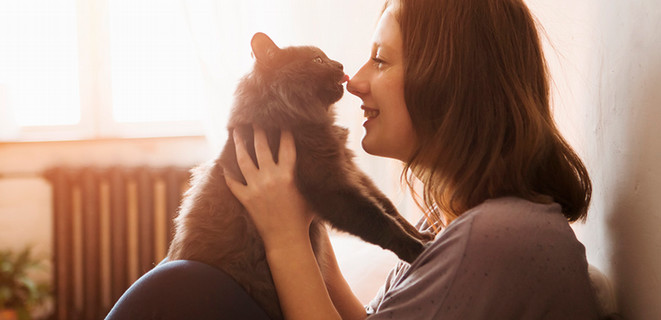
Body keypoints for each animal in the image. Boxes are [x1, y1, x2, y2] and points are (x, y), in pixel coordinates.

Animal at [168, 32, 430, 320]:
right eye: (317, 60)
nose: (339, 65)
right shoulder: (331, 187)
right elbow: (379, 220)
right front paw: (416, 249)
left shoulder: (350, 171)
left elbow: (389, 208)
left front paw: (422, 235)